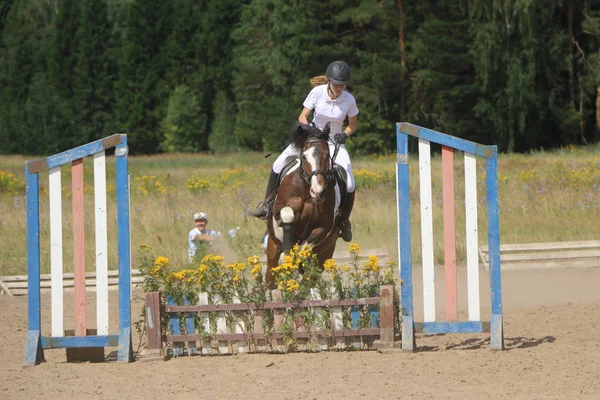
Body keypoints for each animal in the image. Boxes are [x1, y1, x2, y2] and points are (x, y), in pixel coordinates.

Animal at [264, 122, 344, 288]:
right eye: (304, 157)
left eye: (327, 155)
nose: (318, 191)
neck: (307, 191)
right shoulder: (278, 211)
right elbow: (287, 214)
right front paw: (288, 252)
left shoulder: (324, 227)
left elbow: (305, 247)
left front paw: (296, 257)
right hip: (272, 249)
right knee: (271, 275)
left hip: (325, 254)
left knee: (307, 281)